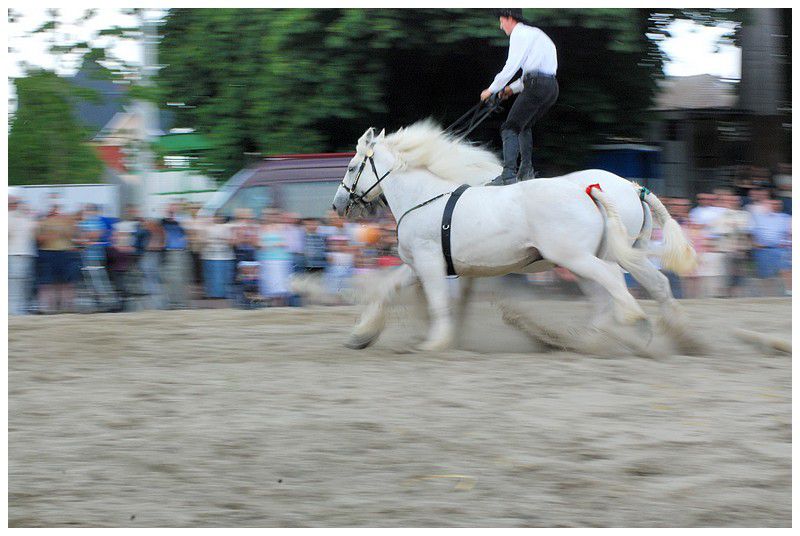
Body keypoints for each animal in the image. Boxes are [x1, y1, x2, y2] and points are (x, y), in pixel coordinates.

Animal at [332, 121, 700, 352]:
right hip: (610, 255)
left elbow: (437, 302)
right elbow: (387, 290)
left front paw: (436, 342)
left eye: (351, 167)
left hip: (577, 257)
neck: (424, 196)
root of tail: (600, 190)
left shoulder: (430, 262)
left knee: (611, 283)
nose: (337, 205)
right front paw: (361, 336)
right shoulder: (419, 265)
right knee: (646, 286)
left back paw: (631, 324)